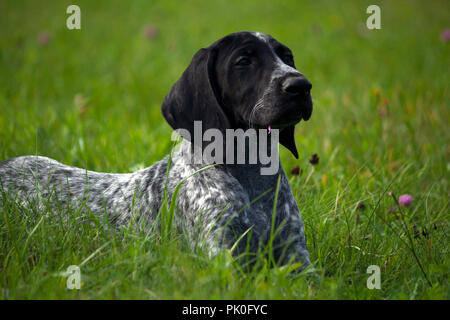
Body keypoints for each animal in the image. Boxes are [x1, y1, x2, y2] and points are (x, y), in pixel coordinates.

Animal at [0, 31, 312, 268]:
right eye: (244, 61)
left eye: (288, 58)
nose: (301, 85)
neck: (250, 172)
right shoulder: (226, 258)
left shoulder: (299, 262)